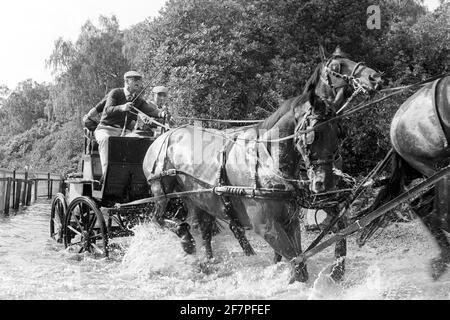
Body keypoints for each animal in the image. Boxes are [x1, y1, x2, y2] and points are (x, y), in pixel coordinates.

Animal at [142, 47, 382, 282]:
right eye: (337, 67)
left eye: (338, 134)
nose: (375, 77)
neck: (270, 163)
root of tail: (168, 133)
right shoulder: (267, 227)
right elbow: (298, 266)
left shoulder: (292, 218)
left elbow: (301, 255)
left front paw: (332, 271)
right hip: (160, 189)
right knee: (159, 219)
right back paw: (186, 240)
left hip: (197, 198)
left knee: (204, 229)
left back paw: (208, 261)